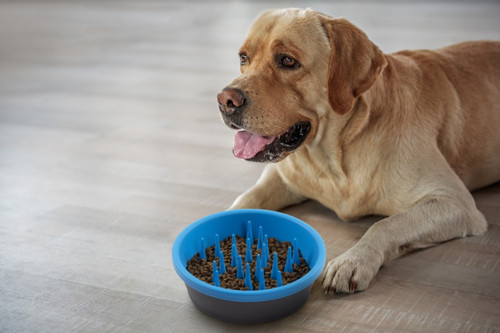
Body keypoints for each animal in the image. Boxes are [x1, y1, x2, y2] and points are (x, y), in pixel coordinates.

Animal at [216, 7, 500, 292]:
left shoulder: (454, 202)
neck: (333, 157)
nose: (226, 100)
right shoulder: (280, 178)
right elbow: (245, 200)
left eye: (287, 61)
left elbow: (386, 224)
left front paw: (353, 260)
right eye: (244, 57)